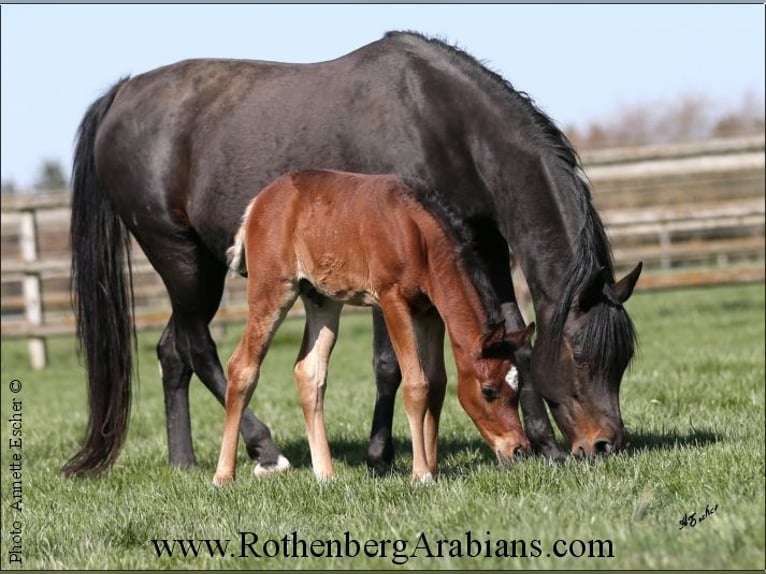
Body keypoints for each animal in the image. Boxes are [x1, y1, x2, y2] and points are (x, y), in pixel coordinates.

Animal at [212, 171, 536, 486]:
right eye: (488, 391)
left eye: (517, 386)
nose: (519, 449)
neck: (418, 233)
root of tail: (257, 203)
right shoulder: (392, 299)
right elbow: (416, 384)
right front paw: (421, 475)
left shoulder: (430, 311)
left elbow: (437, 383)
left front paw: (434, 468)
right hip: (272, 290)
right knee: (242, 367)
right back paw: (224, 475)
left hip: (322, 300)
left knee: (309, 371)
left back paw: (326, 475)